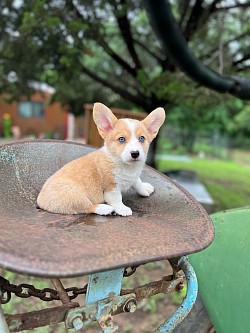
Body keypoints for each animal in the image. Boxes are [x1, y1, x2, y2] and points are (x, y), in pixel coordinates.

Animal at [37, 102, 165, 215]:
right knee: (87, 207)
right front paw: (122, 209)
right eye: (121, 139)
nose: (135, 153)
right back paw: (105, 209)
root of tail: (41, 199)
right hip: (75, 195)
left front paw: (144, 188)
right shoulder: (111, 188)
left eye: (142, 138)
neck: (125, 165)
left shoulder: (133, 176)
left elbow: (137, 181)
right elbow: (117, 199)